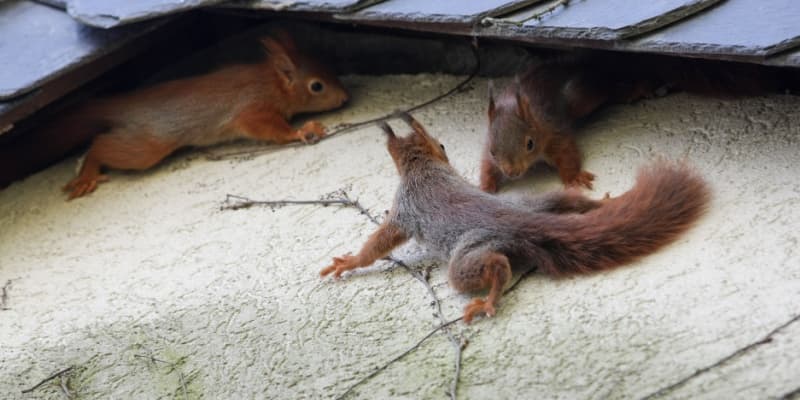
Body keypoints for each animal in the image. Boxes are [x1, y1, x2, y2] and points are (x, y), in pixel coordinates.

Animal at [0, 30, 349, 199]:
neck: (271, 82)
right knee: (100, 144)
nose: (344, 97)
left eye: (329, 65)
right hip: (145, 146)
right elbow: (269, 128)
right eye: (317, 86)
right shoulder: (251, 109)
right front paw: (303, 130)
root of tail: (120, 104)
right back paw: (87, 174)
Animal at [321, 112, 710, 324]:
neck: (423, 168)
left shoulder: (404, 208)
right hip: (538, 202)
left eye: (442, 145)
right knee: (570, 202)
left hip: (468, 256)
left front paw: (351, 261)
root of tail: (518, 221)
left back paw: (489, 299)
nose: (446, 153)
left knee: (492, 267)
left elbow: (379, 243)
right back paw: (605, 202)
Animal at [480, 52, 785, 193]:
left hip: (583, 95)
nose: (513, 173)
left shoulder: (553, 131)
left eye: (530, 144)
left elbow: (568, 153)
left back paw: (638, 88)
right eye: (494, 150)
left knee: (609, 88)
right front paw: (485, 186)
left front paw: (573, 178)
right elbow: (485, 166)